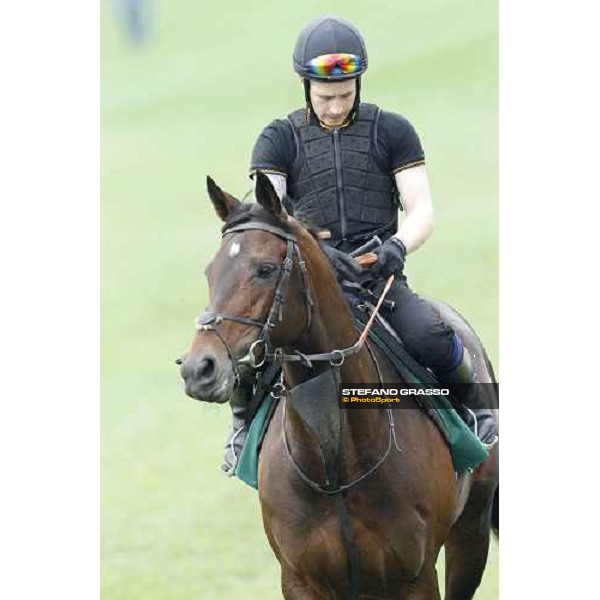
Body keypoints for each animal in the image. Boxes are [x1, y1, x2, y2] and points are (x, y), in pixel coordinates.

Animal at [180, 171, 500, 596]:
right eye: (209, 271)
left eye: (265, 269)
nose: (199, 368)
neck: (335, 464)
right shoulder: (299, 580)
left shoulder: (416, 578)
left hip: (471, 533)